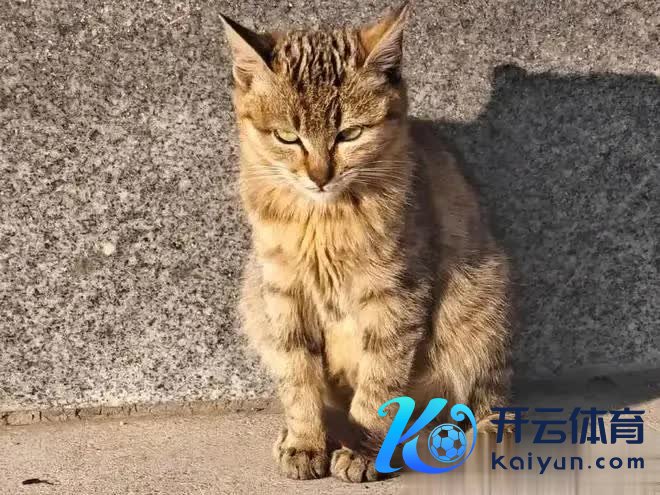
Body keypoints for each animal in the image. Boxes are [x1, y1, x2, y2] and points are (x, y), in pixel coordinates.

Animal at [221, 3, 512, 483]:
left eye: (350, 134)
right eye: (287, 137)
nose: (320, 176)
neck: (322, 221)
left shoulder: (395, 294)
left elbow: (380, 380)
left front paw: (363, 451)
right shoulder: (282, 289)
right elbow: (298, 377)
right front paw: (305, 441)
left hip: (482, 306)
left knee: (484, 400)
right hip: (254, 299)